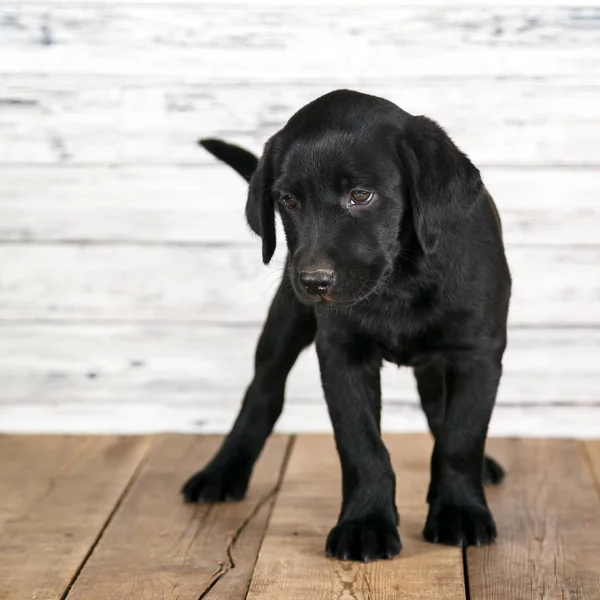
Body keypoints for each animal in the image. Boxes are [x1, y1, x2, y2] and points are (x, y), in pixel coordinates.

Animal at [183, 89, 510, 564]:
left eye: (361, 195)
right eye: (288, 201)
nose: (314, 282)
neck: (400, 281)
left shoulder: (478, 353)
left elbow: (462, 436)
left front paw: (459, 511)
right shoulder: (341, 354)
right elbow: (361, 444)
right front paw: (365, 523)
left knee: (438, 405)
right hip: (286, 322)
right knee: (262, 392)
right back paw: (222, 472)